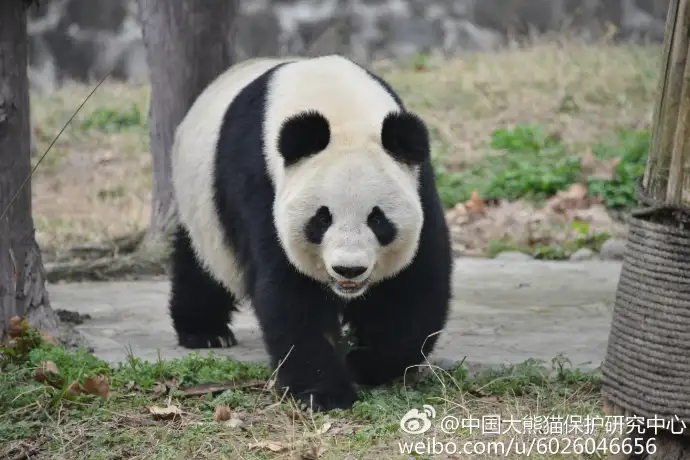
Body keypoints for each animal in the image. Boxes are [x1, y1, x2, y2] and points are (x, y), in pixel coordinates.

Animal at [168, 54, 452, 414]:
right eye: (321, 219)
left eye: (378, 220)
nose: (349, 270)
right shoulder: (261, 183)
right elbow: (290, 290)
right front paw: (325, 393)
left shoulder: (417, 182)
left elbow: (412, 287)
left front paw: (363, 363)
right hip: (201, 207)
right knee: (201, 265)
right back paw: (205, 332)